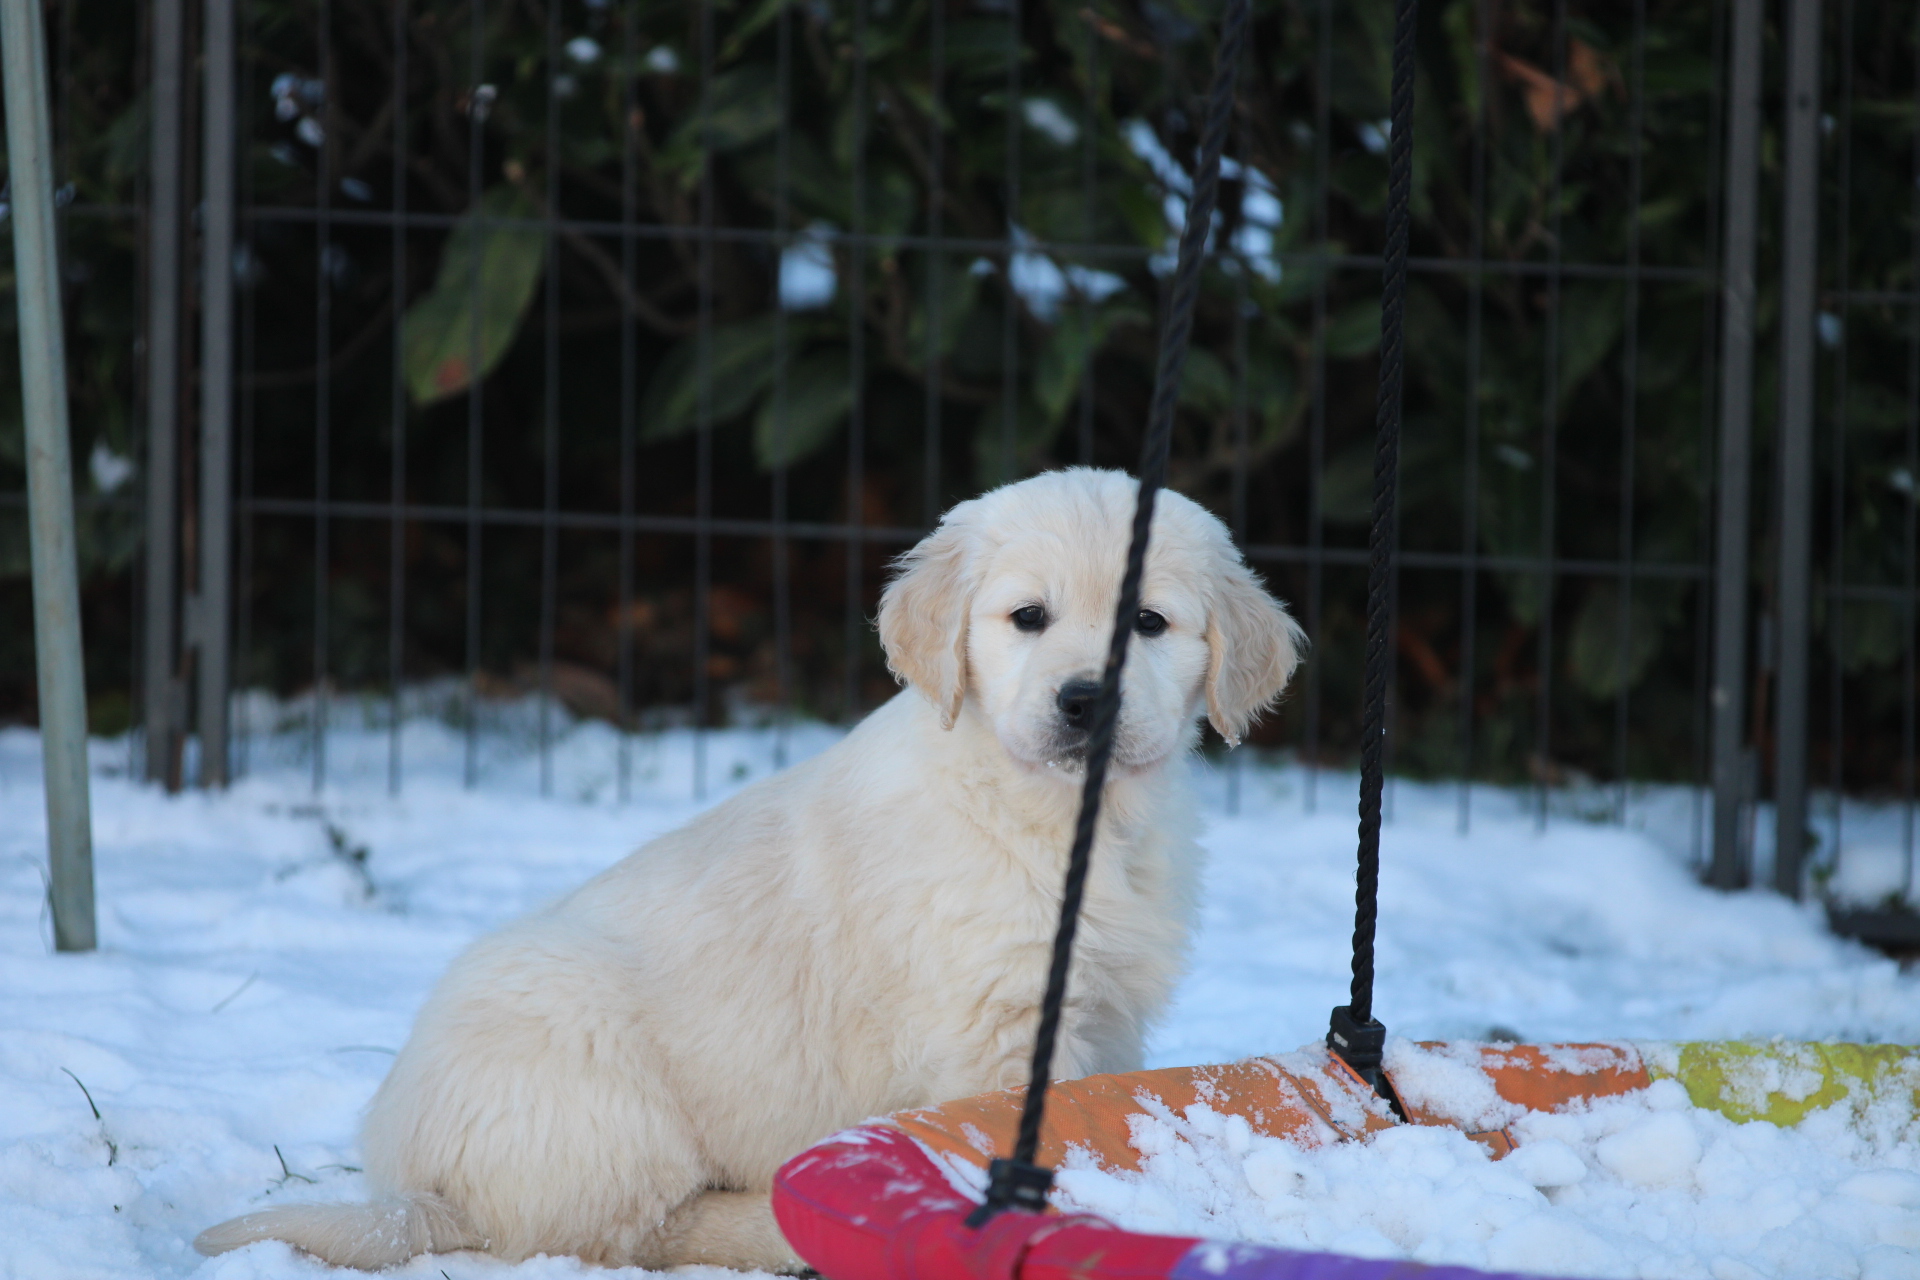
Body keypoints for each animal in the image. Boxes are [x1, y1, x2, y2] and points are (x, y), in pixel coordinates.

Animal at [195, 467, 1304, 1272]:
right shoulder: (1001, 1023)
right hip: (604, 1085)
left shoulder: (1106, 1011)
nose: (1086, 700)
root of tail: (414, 1178)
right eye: (1027, 616)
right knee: (635, 1230)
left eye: (1149, 623)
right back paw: (776, 1225)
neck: (1064, 819)